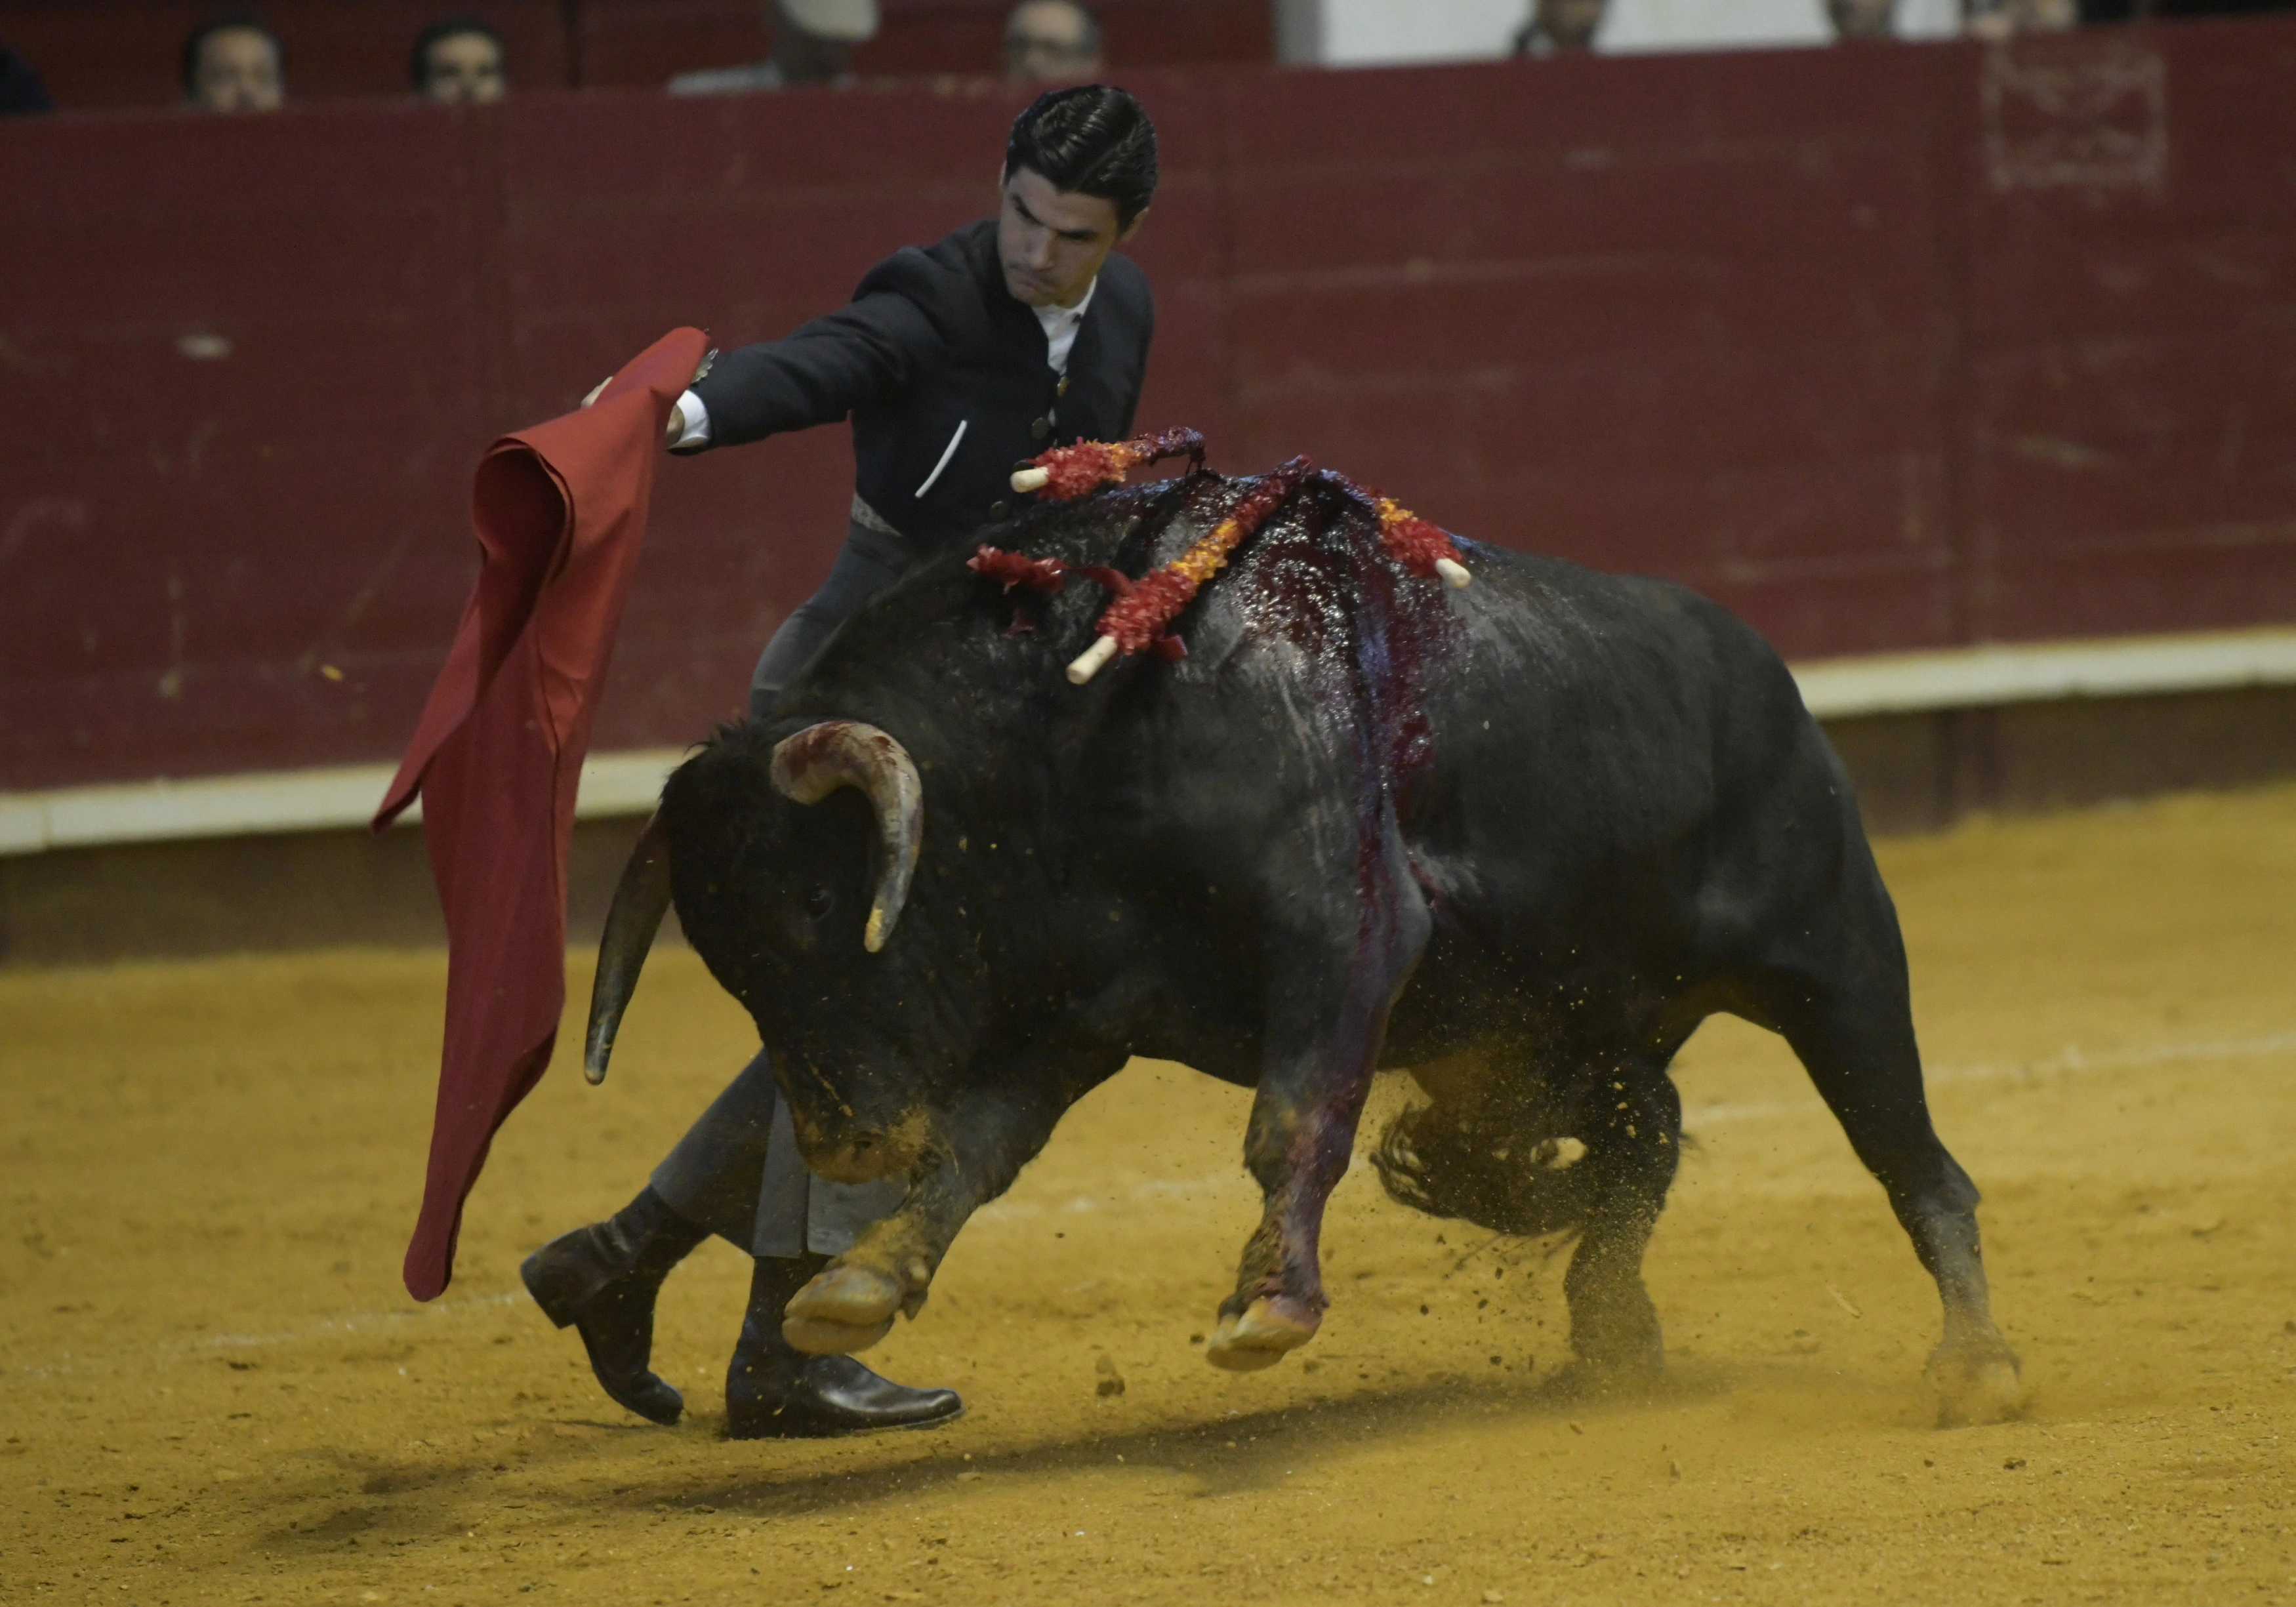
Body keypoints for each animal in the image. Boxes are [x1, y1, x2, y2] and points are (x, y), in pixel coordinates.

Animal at [588, 461, 2030, 1414]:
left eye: (817, 905)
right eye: (722, 957)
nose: (839, 1141)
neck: (1076, 722)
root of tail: (1764, 672)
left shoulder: (1342, 934)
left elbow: (1292, 1121)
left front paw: (1266, 1307)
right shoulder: (1067, 1015)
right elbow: (973, 1153)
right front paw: (862, 1283)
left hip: (1838, 967)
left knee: (1916, 1161)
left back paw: (1977, 1365)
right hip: (1549, 1033)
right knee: (1635, 1137)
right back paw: (1612, 1327)